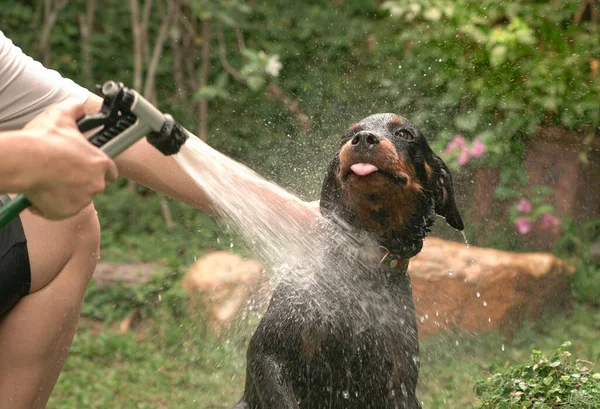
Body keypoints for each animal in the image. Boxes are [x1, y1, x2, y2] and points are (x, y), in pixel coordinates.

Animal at [232, 113, 462, 408]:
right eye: (347, 135)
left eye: (405, 134)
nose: (363, 138)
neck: (362, 259)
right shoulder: (269, 353)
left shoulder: (399, 382)